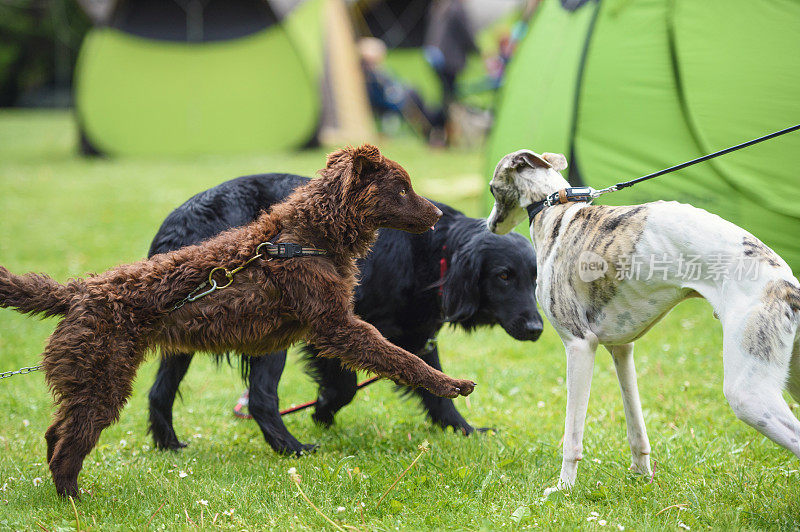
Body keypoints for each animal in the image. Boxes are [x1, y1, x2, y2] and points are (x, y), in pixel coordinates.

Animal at [0, 143, 476, 496]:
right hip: (102, 381)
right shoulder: (338, 327)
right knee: (68, 447)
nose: (438, 215)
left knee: (56, 434)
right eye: (402, 188)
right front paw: (452, 384)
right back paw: (74, 499)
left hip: (93, 381)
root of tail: (77, 293)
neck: (307, 236)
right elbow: (403, 359)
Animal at [147, 174, 540, 454]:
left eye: (535, 278)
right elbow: (346, 387)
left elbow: (436, 387)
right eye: (504, 276)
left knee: (158, 391)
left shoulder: (418, 336)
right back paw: (292, 449)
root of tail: (183, 222)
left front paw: (465, 430)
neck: (432, 251)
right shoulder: (332, 326)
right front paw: (321, 411)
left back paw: (169, 445)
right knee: (260, 398)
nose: (537, 329)